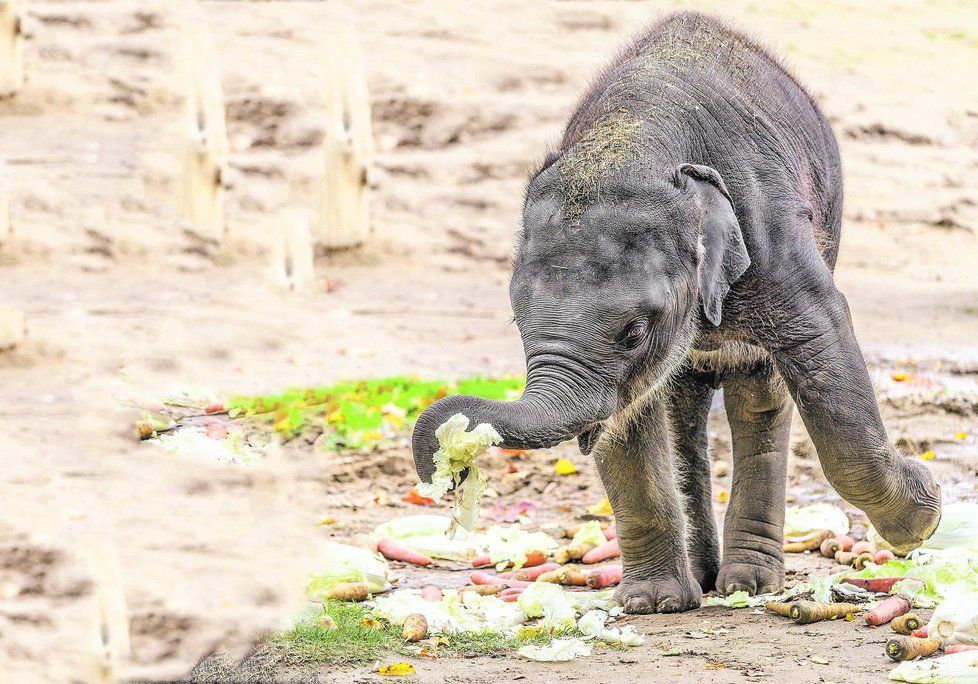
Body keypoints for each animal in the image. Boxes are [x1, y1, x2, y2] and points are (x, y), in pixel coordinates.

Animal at [408, 10, 936, 612]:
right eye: (519, 324)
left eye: (634, 331)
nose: (446, 474)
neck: (629, 136)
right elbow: (629, 416)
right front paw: (653, 604)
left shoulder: (770, 230)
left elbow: (820, 339)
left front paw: (922, 513)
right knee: (685, 406)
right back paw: (707, 580)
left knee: (760, 392)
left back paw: (747, 585)